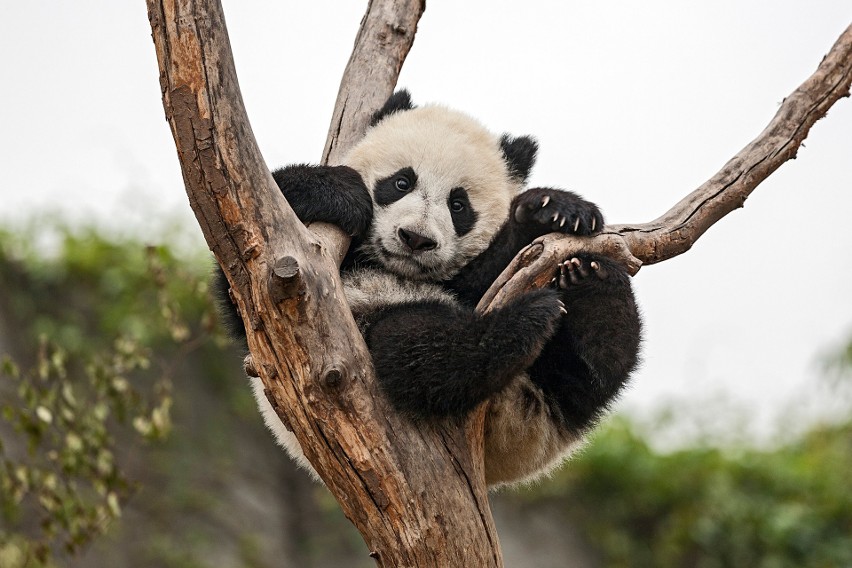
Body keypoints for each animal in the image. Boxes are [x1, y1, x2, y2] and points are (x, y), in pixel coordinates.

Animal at [216, 90, 644, 488]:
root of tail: (511, 434)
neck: (394, 268)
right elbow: (248, 287)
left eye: (458, 205)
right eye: (401, 182)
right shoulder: (292, 278)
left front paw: (554, 212)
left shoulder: (469, 278)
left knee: (594, 371)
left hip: (555, 388)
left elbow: (486, 274)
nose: (416, 239)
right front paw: (337, 192)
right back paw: (523, 321)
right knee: (414, 348)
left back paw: (593, 284)